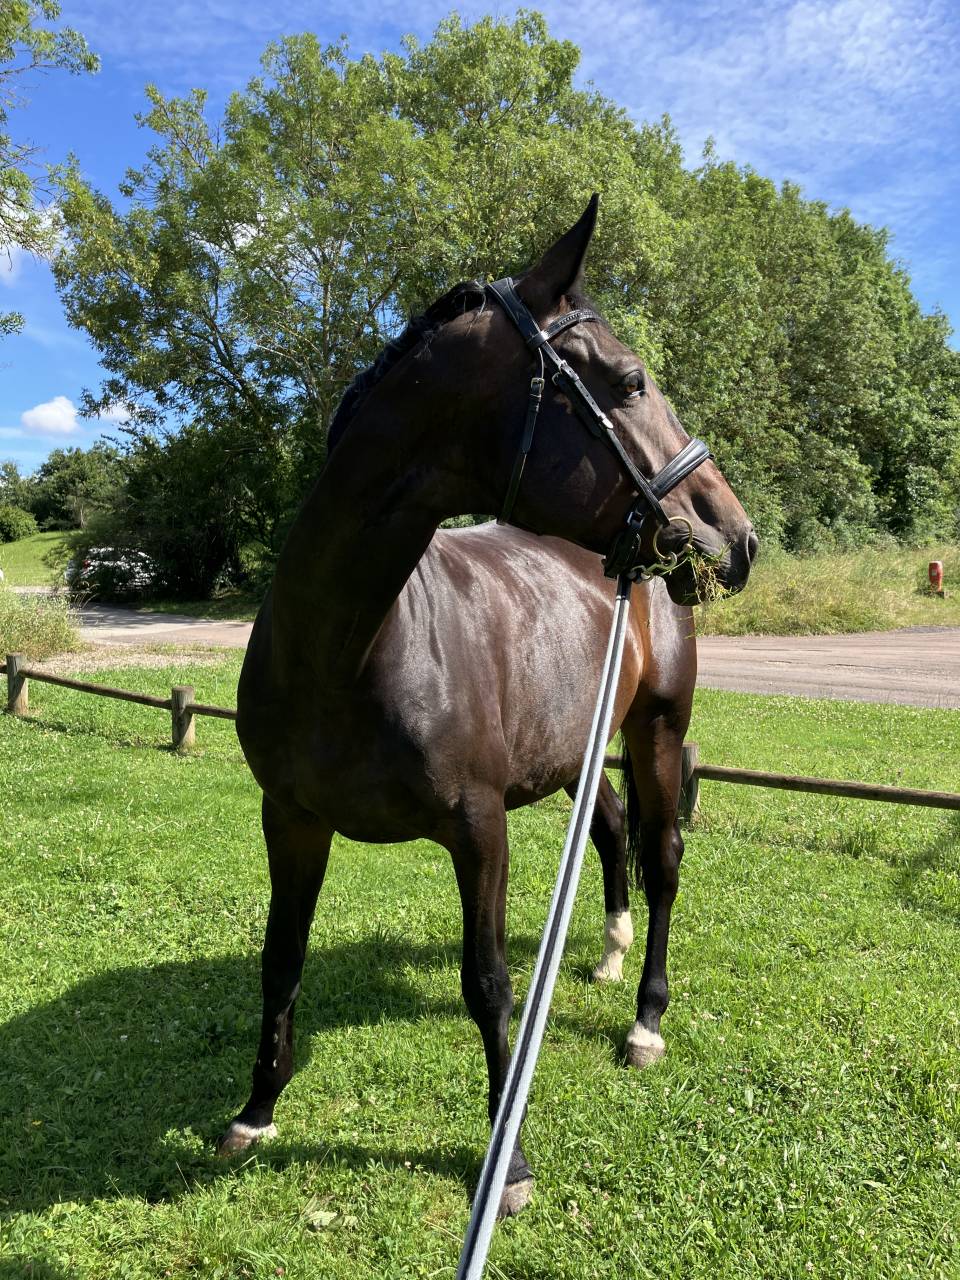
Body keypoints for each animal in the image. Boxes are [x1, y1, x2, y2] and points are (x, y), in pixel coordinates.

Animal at [219, 196, 756, 1218]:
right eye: (630, 382)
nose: (734, 535)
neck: (349, 650)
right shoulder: (289, 819)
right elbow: (281, 955)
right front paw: (256, 1110)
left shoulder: (478, 828)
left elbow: (489, 983)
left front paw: (509, 1164)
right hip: (576, 751)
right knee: (615, 829)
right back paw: (612, 949)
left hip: (656, 728)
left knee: (665, 857)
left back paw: (645, 1018)